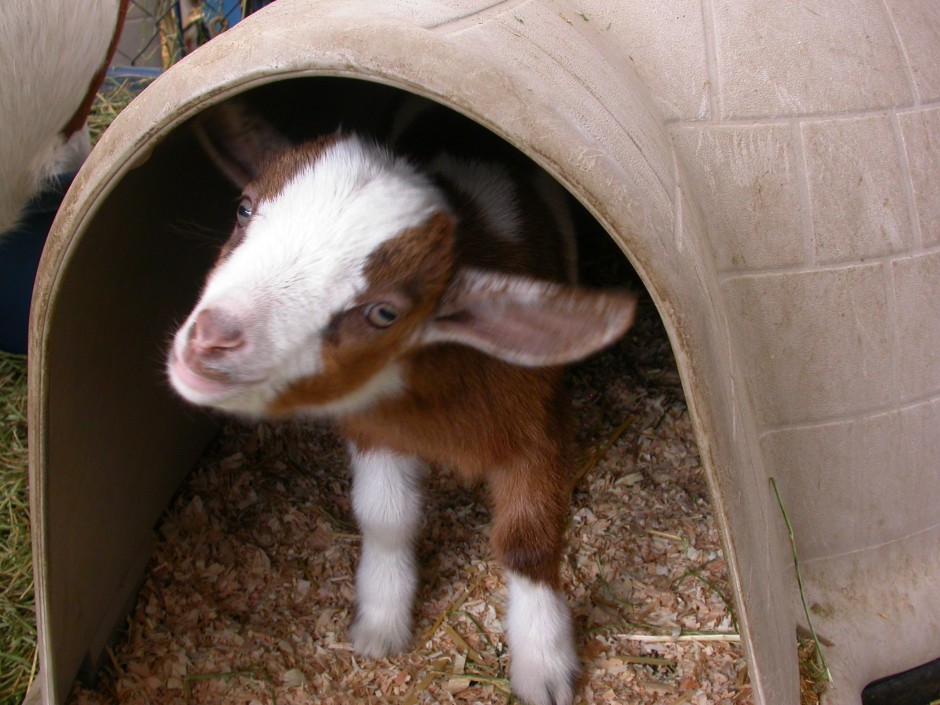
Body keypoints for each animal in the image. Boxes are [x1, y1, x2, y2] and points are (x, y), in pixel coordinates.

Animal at [167, 97, 637, 705]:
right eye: (244, 207)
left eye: (385, 312)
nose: (211, 340)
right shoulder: (376, 428)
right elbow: (385, 518)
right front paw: (380, 624)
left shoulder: (541, 424)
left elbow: (527, 541)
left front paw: (545, 668)